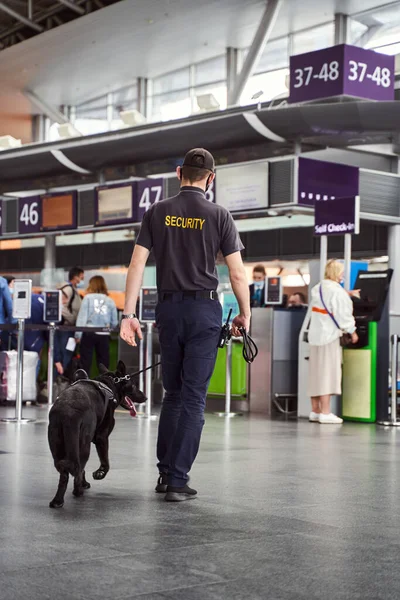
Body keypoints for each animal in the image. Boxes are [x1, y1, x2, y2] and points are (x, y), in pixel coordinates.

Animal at [48, 358, 145, 508]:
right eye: (134, 386)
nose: (145, 397)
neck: (110, 384)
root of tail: (68, 412)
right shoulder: (102, 438)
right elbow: (105, 461)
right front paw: (100, 473)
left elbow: (82, 470)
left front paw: (86, 482)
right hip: (83, 445)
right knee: (77, 469)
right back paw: (78, 491)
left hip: (58, 446)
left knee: (66, 473)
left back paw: (58, 501)